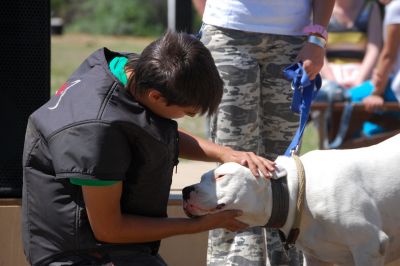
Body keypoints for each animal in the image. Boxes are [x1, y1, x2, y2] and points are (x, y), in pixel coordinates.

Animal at [182, 134, 400, 264]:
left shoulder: (370, 246)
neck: (295, 195)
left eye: (221, 176)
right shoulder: (315, 257)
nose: (185, 190)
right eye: (202, 177)